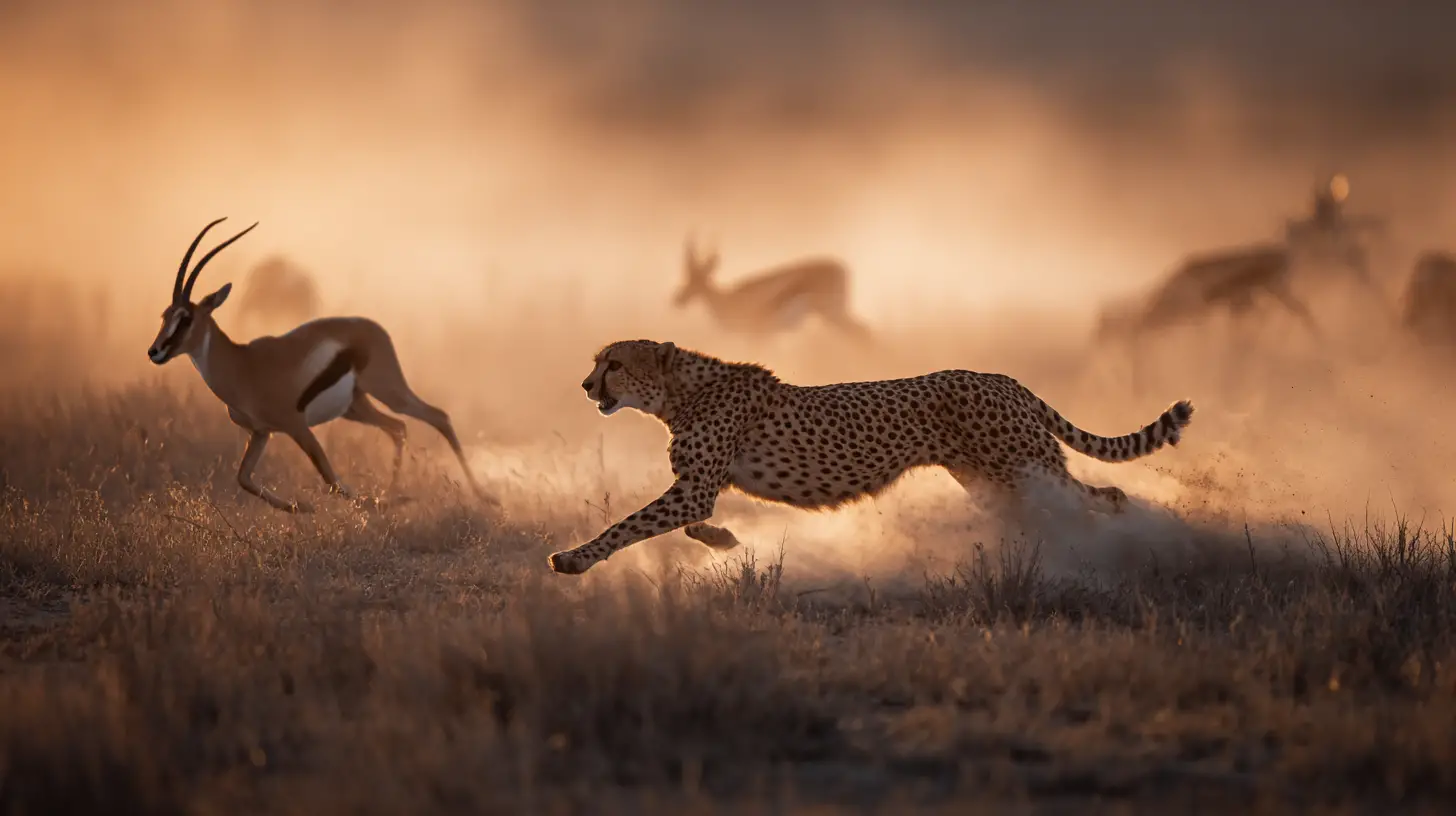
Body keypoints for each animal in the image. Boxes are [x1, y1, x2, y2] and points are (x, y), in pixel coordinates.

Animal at [146, 217, 493, 513]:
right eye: (165, 315)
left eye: (186, 318)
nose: (155, 351)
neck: (241, 365)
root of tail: (373, 327)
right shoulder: (261, 432)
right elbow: (243, 478)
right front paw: (302, 507)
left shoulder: (297, 426)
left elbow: (331, 481)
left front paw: (367, 505)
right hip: (356, 406)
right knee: (398, 427)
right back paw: (395, 493)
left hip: (387, 389)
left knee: (437, 416)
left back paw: (481, 497)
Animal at [547, 339, 1194, 575]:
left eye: (613, 363)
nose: (583, 385)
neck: (679, 391)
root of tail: (998, 376)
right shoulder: (699, 488)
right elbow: (687, 525)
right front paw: (726, 541)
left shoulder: (695, 486)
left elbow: (628, 525)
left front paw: (575, 559)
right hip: (993, 482)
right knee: (1064, 510)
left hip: (1027, 468)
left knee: (1105, 496)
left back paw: (1111, 552)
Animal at [672, 237, 873, 343]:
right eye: (688, 276)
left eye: (699, 278)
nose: (679, 300)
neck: (729, 299)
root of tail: (842, 267)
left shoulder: (757, 334)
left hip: (833, 313)